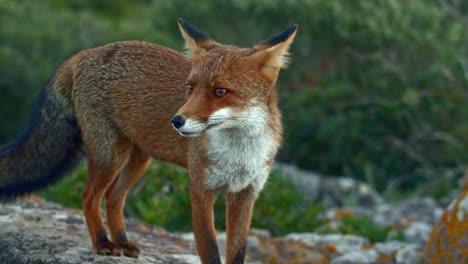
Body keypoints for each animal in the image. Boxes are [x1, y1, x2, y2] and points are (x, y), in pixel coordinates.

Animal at [0, 19, 298, 264]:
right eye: (190, 88)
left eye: (220, 91)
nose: (176, 121)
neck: (239, 155)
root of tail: (86, 53)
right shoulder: (200, 189)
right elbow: (210, 250)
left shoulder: (245, 193)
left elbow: (237, 252)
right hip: (110, 156)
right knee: (90, 196)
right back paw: (103, 243)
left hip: (139, 160)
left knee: (113, 197)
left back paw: (122, 242)